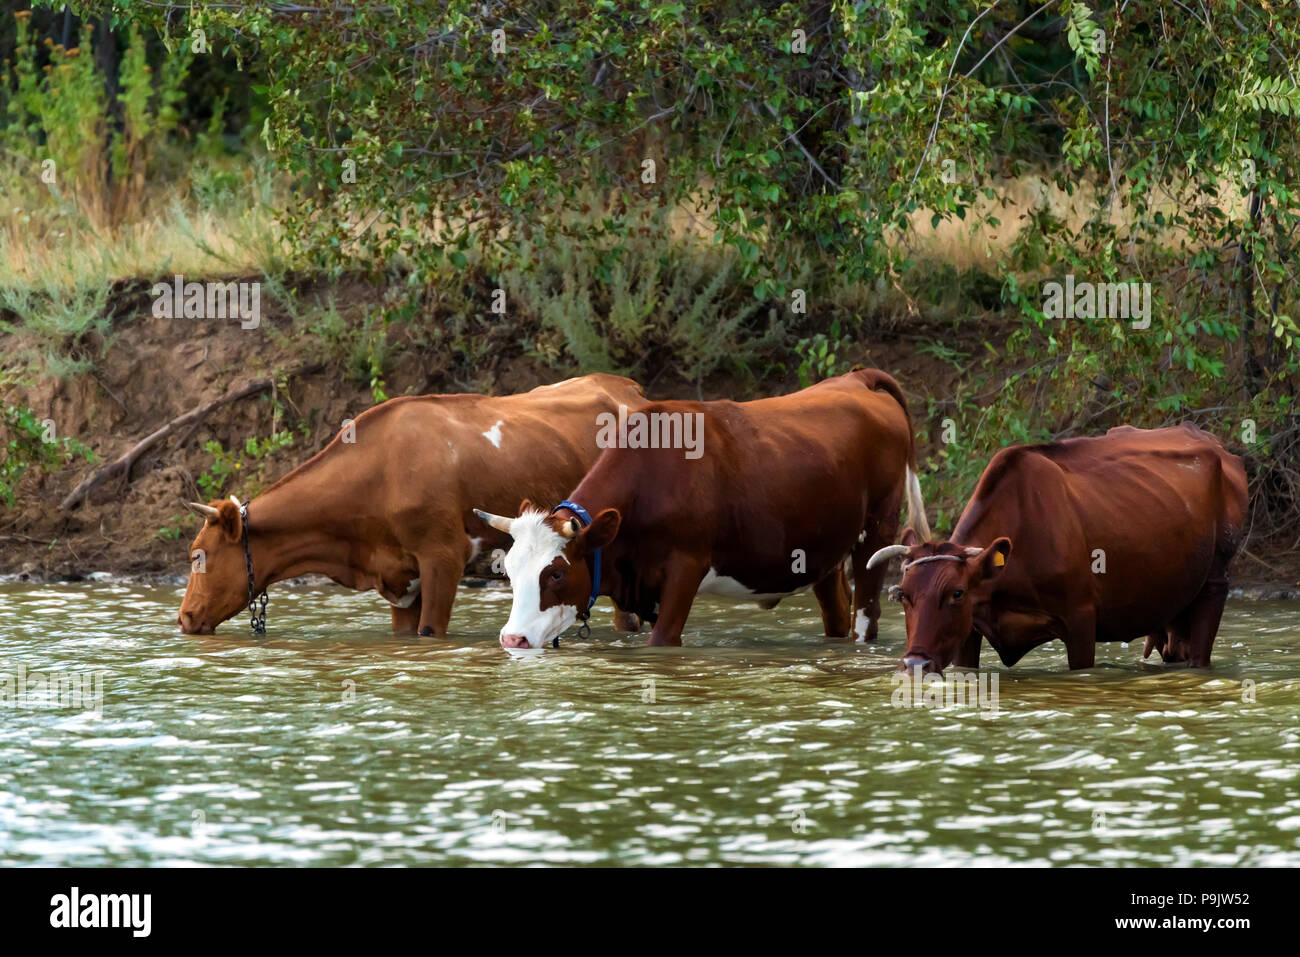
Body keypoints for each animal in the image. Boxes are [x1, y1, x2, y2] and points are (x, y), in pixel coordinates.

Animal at [473, 366, 930, 650]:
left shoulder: (685, 567)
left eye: (555, 572)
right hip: (824, 551)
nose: (512, 640)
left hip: (877, 532)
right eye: (509, 570)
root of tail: (857, 379)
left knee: (866, 616)